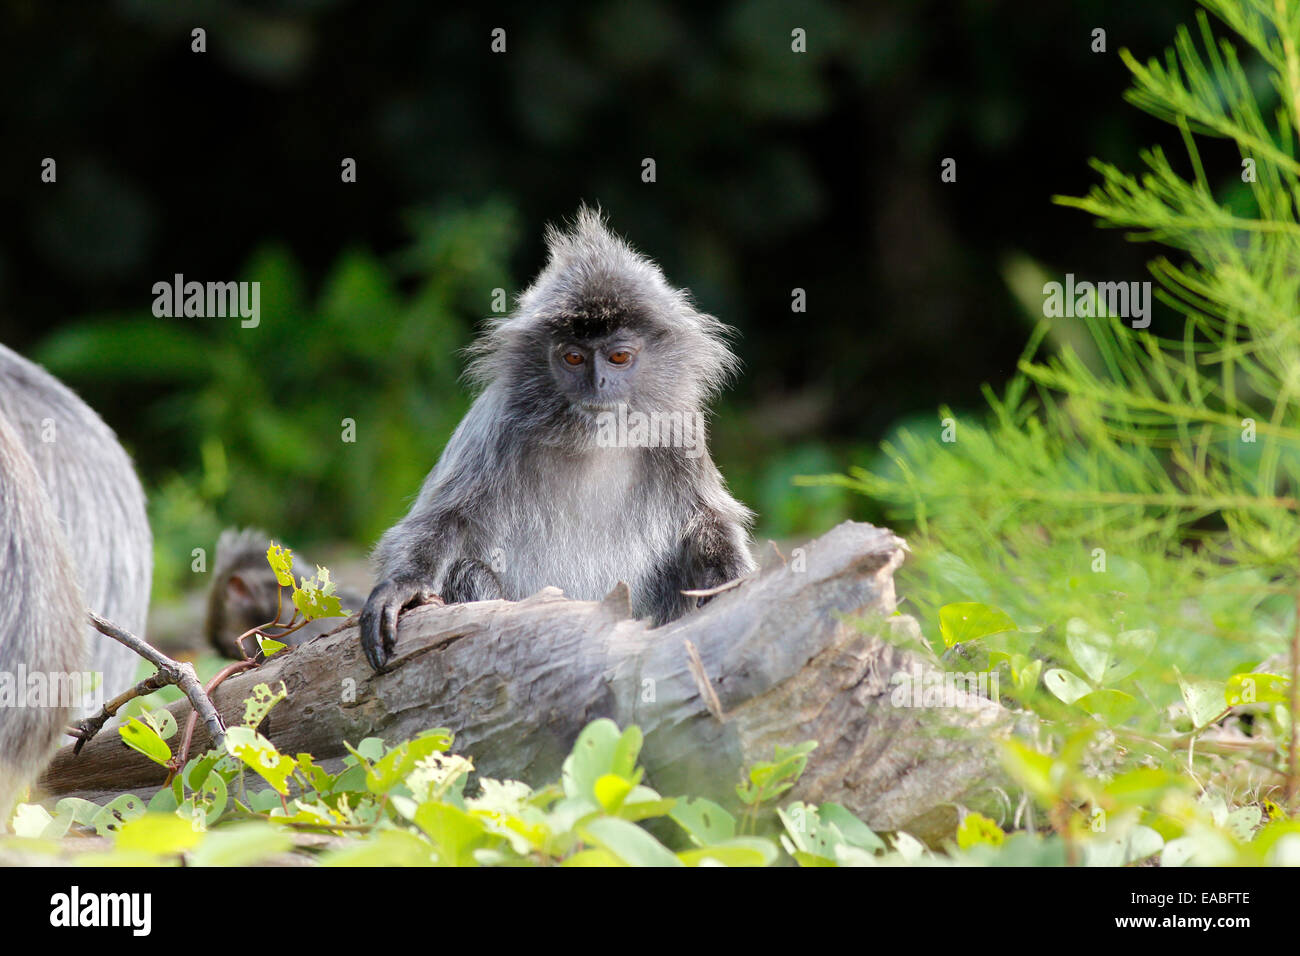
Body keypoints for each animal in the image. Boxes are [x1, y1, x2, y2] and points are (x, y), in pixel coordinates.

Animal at [361, 209, 759, 671]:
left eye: (618, 357)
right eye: (573, 357)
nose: (598, 383)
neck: (593, 443)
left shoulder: (678, 432)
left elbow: (708, 523)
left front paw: (735, 582)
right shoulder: (498, 427)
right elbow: (441, 522)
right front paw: (401, 587)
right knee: (468, 571)